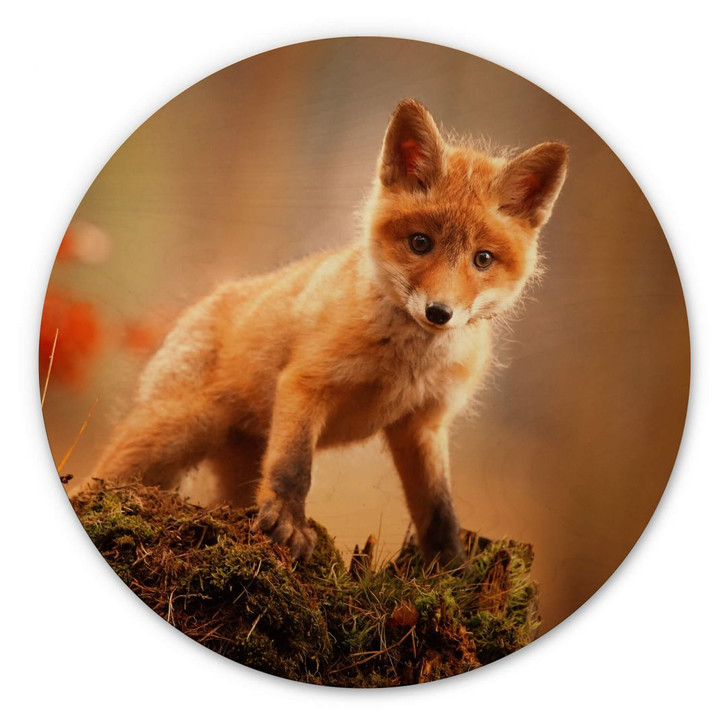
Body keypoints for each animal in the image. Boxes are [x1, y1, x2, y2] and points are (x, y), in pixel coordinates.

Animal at [91, 99, 568, 565]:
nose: (439, 312)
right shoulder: (306, 383)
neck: (406, 363)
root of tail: (201, 304)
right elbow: (294, 468)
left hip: (234, 464)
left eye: (482, 259)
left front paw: (449, 569)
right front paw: (289, 525)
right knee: (100, 478)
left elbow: (438, 509)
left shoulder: (422, 423)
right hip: (174, 433)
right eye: (420, 243)